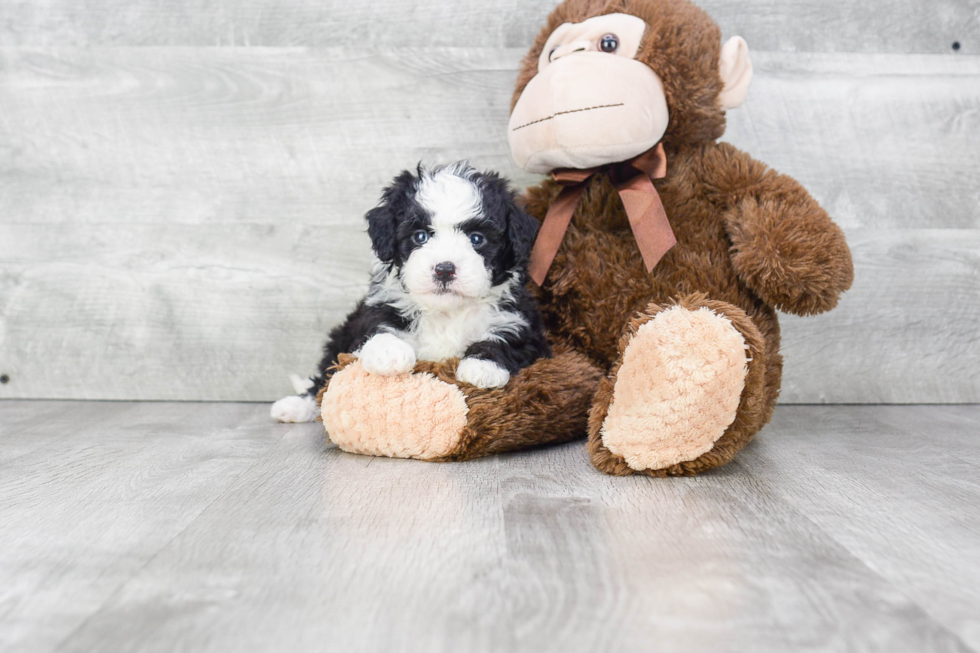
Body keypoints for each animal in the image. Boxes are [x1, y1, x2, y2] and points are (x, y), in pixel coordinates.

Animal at [272, 163, 556, 422]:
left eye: (477, 239)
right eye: (420, 236)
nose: (444, 269)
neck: (446, 312)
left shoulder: (523, 326)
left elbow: (506, 340)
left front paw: (482, 366)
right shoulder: (376, 309)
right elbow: (377, 327)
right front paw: (389, 352)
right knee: (324, 376)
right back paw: (294, 407)